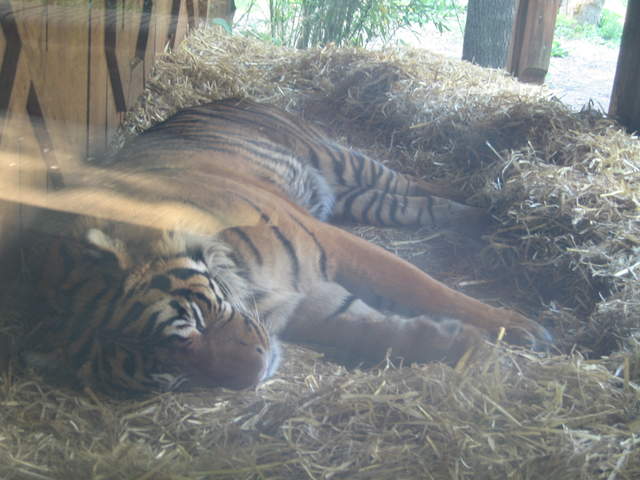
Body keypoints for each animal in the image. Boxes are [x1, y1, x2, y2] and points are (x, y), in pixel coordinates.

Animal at [22, 98, 552, 395]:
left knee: (416, 179)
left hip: (339, 160)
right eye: (169, 373)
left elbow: (421, 285)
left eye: (193, 327)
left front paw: (517, 329)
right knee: (411, 205)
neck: (246, 284)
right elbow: (370, 328)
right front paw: (462, 344)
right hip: (357, 195)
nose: (253, 375)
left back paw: (486, 197)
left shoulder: (334, 246)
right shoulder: (306, 300)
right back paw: (476, 216)